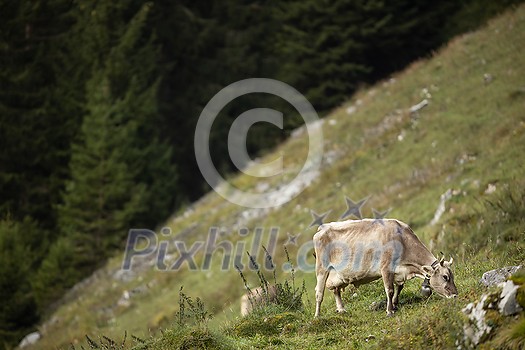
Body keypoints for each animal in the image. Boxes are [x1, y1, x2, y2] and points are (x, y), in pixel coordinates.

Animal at [314, 219, 456, 318]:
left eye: (452, 276)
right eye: (445, 277)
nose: (455, 295)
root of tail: (322, 227)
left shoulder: (399, 271)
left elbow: (399, 287)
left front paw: (395, 304)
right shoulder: (386, 268)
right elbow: (390, 290)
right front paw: (389, 311)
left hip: (337, 275)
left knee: (335, 289)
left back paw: (341, 309)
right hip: (321, 268)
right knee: (319, 292)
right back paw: (317, 316)